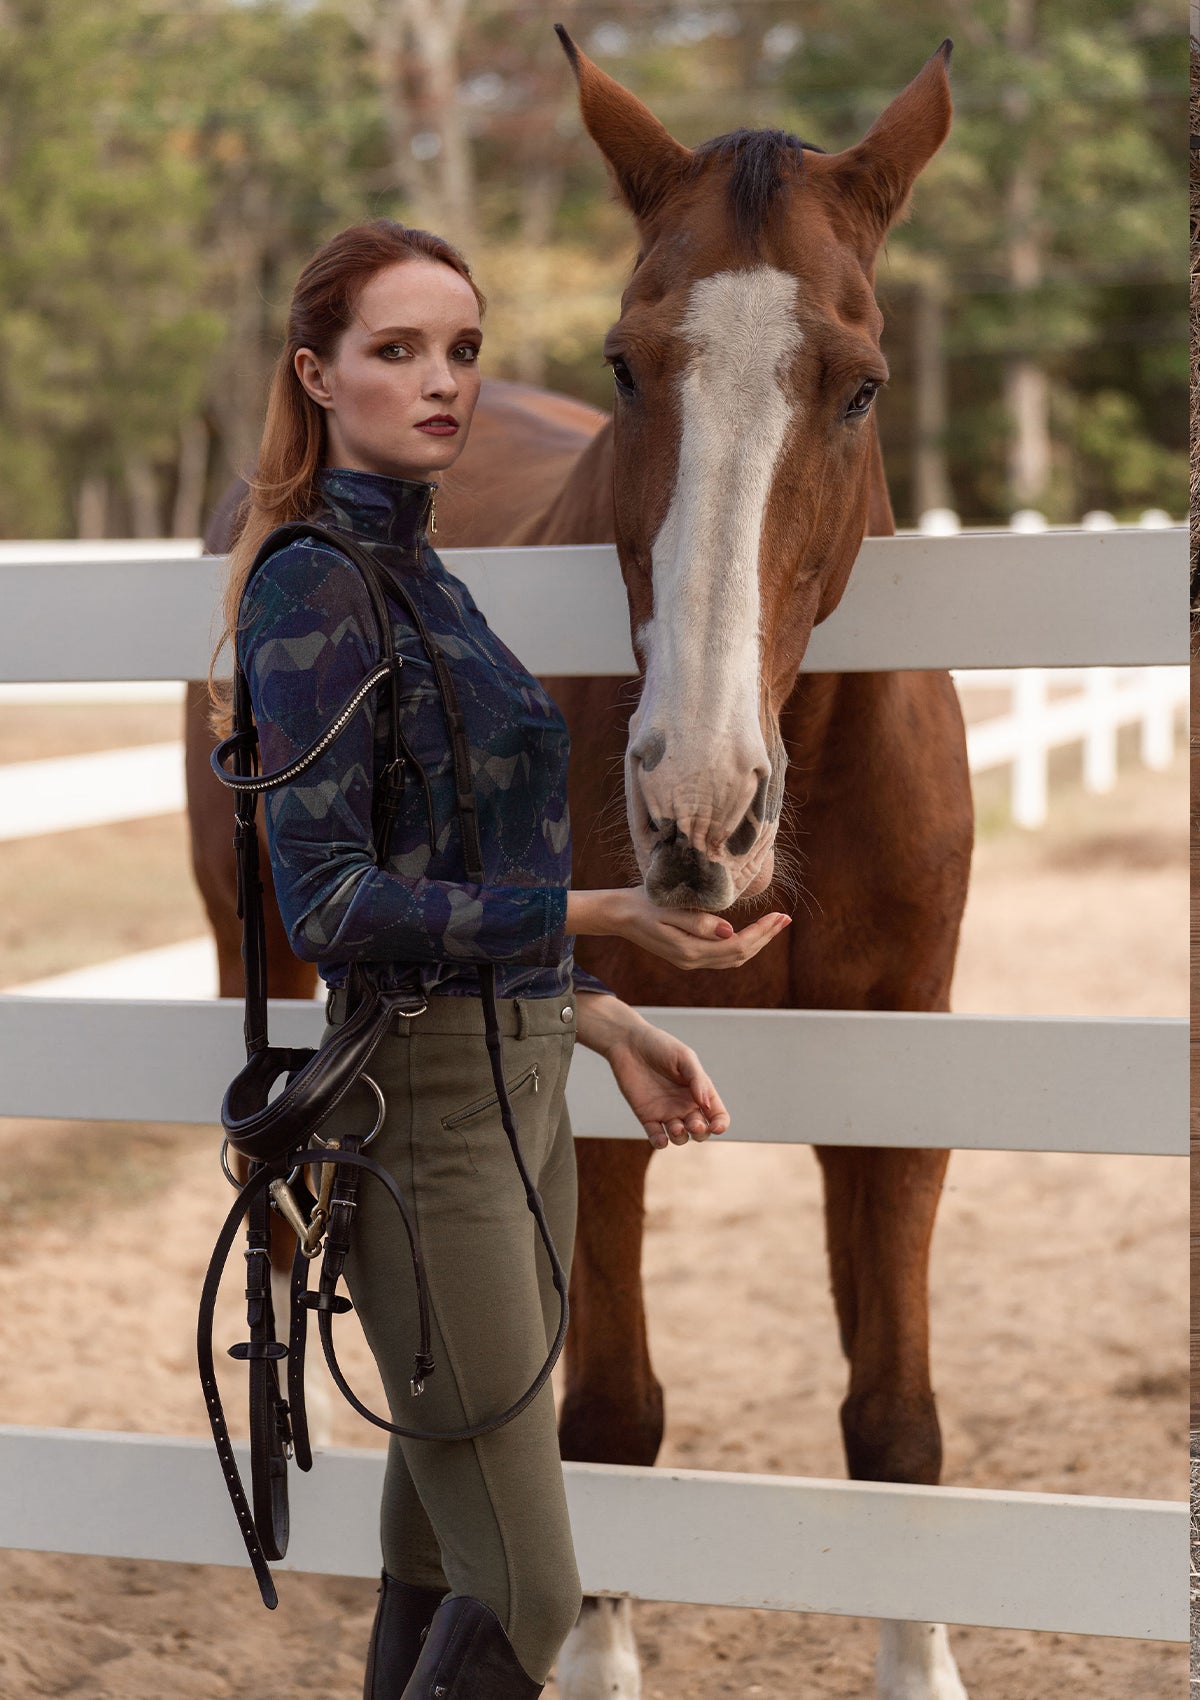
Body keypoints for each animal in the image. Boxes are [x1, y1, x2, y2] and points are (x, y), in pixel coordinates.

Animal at [184, 36, 972, 1700]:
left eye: (860, 384)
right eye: (625, 366)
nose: (699, 809)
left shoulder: (900, 1084)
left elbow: (895, 1430)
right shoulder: (587, 1120)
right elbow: (607, 1420)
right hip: (258, 970)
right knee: (287, 1250)